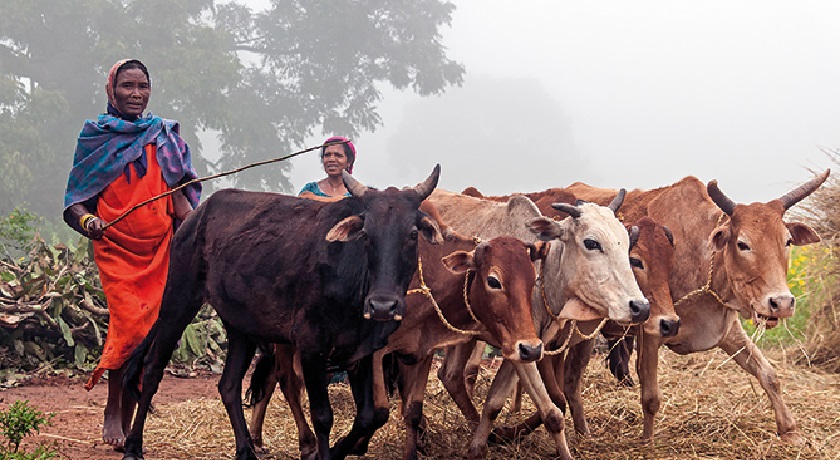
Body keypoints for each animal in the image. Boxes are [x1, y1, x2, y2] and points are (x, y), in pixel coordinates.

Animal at [123, 165, 446, 460]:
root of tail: (197, 215)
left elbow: (369, 415)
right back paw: (132, 446)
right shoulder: (311, 345)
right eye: (366, 235)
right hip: (178, 301)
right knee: (152, 368)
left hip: (241, 327)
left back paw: (246, 451)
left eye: (412, 233)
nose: (382, 305)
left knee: (228, 385)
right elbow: (322, 416)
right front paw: (318, 453)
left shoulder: (363, 351)